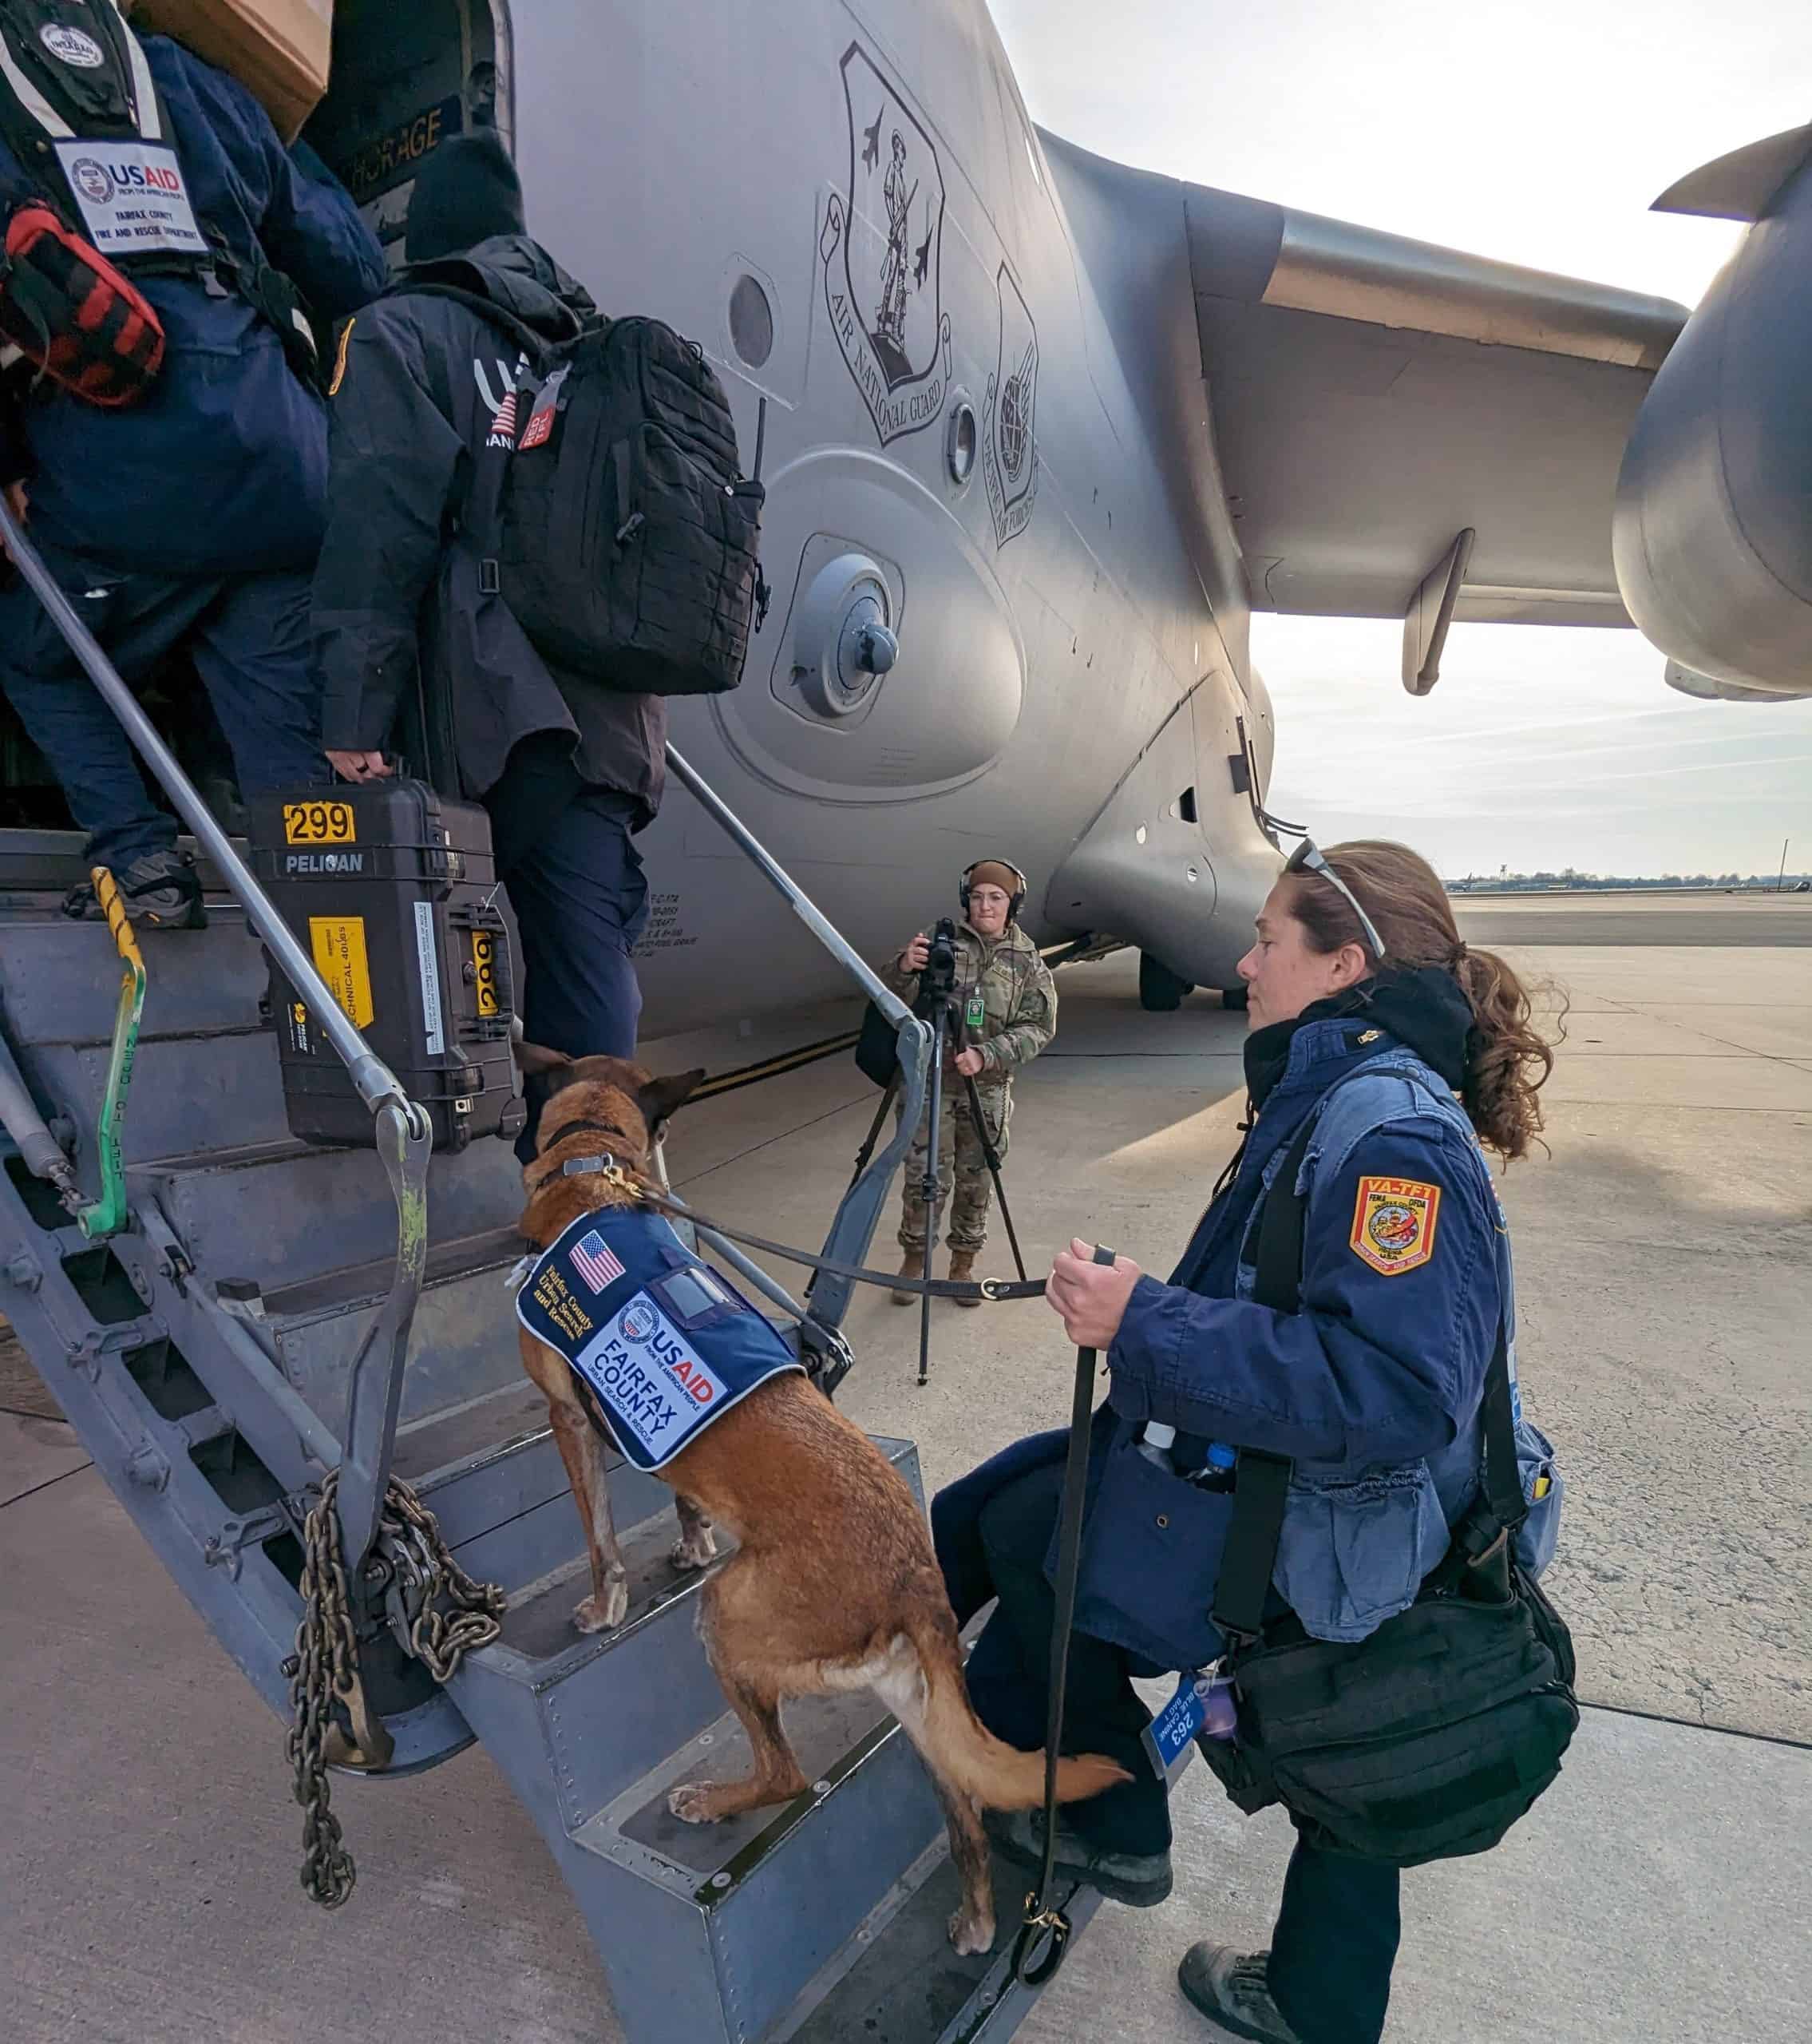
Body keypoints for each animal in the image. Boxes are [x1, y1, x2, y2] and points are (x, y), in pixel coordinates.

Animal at [516, 1046, 1127, 1954]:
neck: (595, 1160)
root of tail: (916, 1580)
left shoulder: (568, 1417)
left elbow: (599, 1539)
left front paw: (603, 1604)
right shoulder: (656, 1436)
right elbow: (680, 1499)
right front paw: (689, 1542)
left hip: (729, 1620)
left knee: (786, 1772)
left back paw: (716, 1800)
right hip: (916, 1711)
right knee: (966, 1815)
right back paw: (978, 1916)